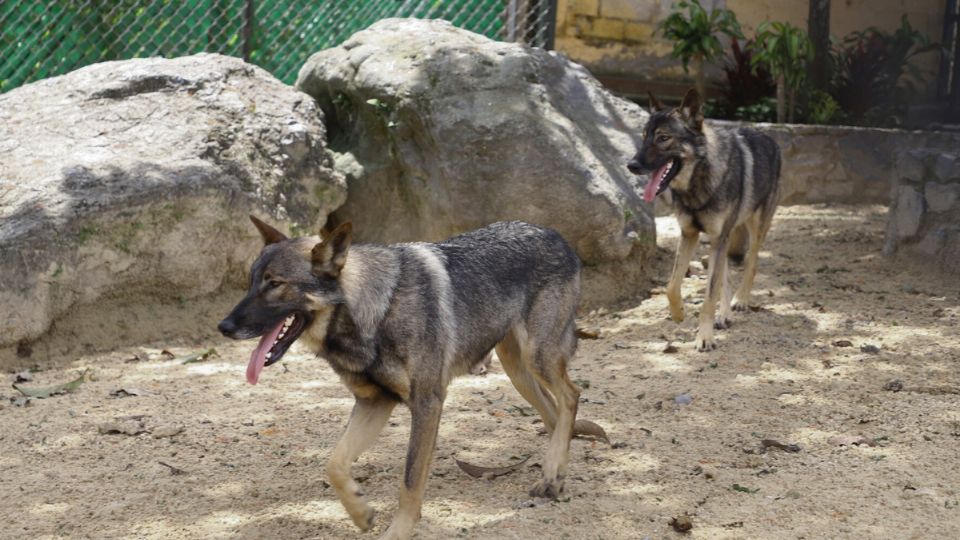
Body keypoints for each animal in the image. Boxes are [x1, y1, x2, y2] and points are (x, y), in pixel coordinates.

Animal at [218, 217, 600, 540]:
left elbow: (410, 479)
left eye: (275, 284)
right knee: (554, 414)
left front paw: (398, 530)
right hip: (517, 371)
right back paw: (553, 474)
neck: (376, 311)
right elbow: (335, 464)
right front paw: (361, 513)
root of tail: (554, 234)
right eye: (250, 283)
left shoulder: (427, 403)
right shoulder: (374, 403)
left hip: (538, 359)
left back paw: (552, 473)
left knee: (571, 396)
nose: (224, 326)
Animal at [628, 88, 784, 350]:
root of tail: (767, 135)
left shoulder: (718, 237)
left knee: (751, 264)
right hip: (721, 240)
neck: (697, 184)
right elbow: (672, 286)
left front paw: (704, 337)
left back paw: (741, 300)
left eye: (663, 138)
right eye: (644, 137)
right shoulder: (689, 234)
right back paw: (724, 315)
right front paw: (679, 313)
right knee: (725, 275)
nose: (631, 165)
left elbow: (709, 296)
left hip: (755, 228)